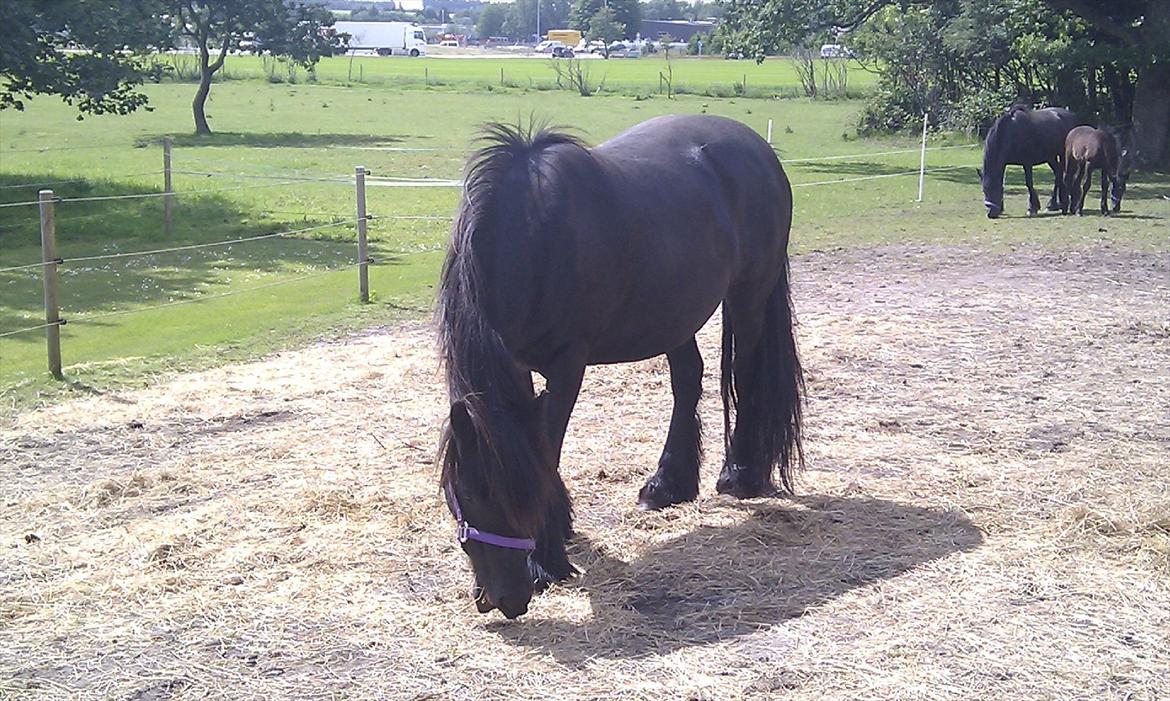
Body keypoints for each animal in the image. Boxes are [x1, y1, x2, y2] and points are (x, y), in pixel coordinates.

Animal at [437, 115, 803, 619]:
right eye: (465, 493)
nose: (502, 599)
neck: (533, 237)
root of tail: (760, 150)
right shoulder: (517, 366)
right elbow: (540, 445)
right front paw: (561, 529)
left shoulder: (567, 364)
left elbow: (548, 449)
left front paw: (547, 560)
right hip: (674, 314)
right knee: (688, 380)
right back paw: (667, 485)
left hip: (749, 295)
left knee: (746, 377)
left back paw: (740, 475)